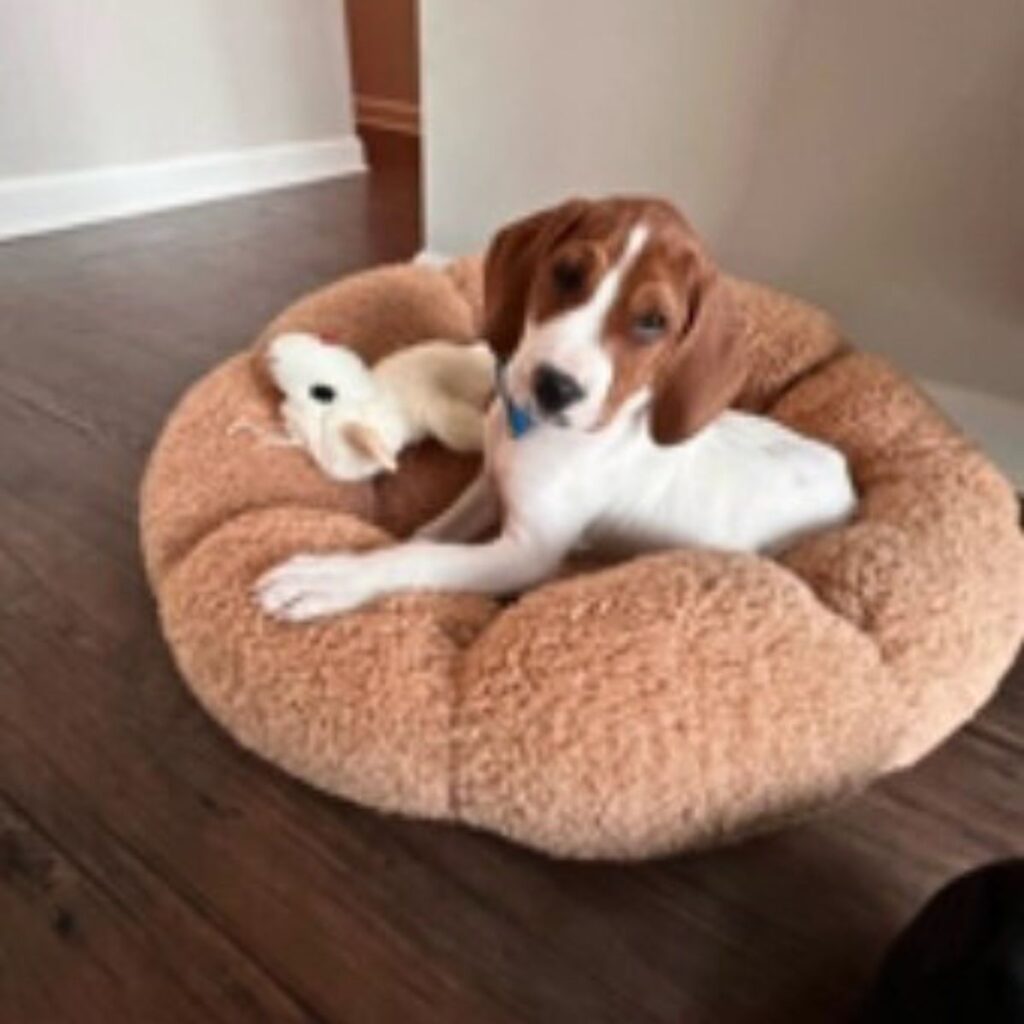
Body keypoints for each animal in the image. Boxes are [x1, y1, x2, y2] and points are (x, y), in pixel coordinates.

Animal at [258, 195, 856, 618]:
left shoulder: (527, 552)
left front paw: (336, 578)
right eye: (567, 274)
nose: (554, 386)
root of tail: (848, 477)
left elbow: (422, 558)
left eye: (652, 322)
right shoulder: (488, 483)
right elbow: (429, 534)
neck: (532, 433)